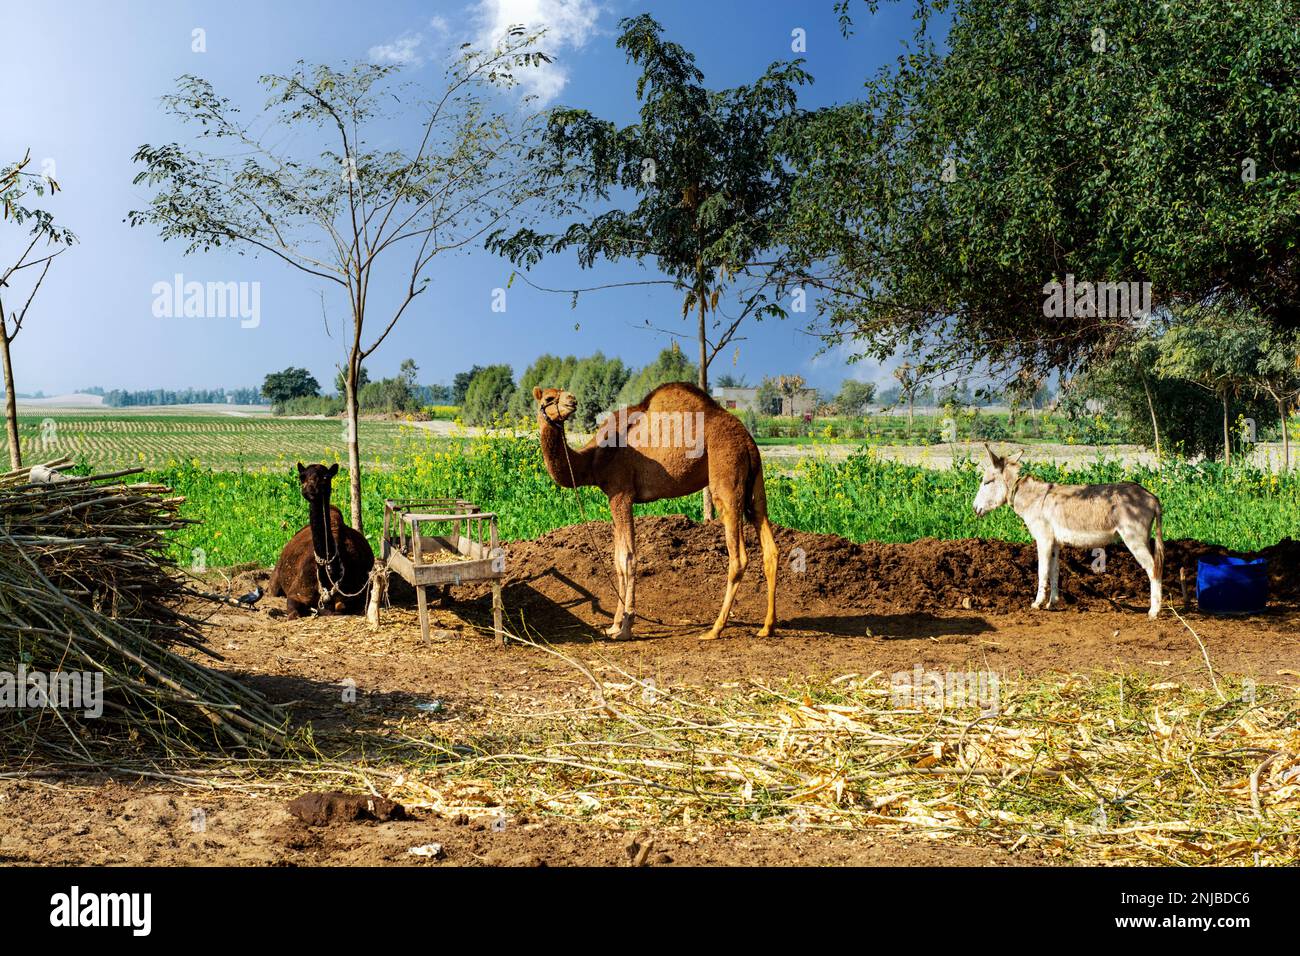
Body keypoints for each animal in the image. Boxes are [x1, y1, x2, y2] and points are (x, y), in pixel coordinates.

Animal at [269, 463, 377, 621]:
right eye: (302, 476)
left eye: (326, 477)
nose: (310, 490)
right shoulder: (295, 593)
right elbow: (294, 612)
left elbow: (337, 608)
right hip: (276, 577)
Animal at [533, 382, 774, 642]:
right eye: (549, 398)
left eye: (555, 397)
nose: (572, 400)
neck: (592, 459)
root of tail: (748, 440)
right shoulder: (613, 497)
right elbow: (617, 560)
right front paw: (614, 625)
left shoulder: (621, 493)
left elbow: (627, 558)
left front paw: (626, 627)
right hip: (755, 480)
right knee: (770, 547)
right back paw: (766, 627)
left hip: (726, 476)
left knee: (738, 556)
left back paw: (715, 629)